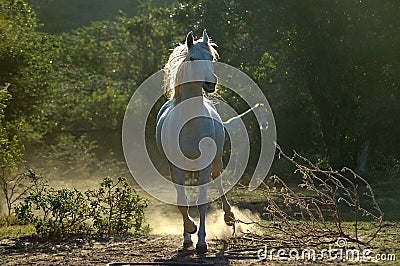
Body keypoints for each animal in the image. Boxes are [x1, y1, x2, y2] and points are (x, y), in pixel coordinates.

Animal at [155, 30, 234, 252]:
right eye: (192, 58)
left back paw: (229, 216)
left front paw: (202, 242)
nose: (210, 83)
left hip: (216, 160)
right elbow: (182, 201)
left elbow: (201, 201)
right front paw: (190, 231)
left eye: (211, 58)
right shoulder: (176, 167)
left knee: (219, 182)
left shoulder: (205, 165)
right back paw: (187, 237)